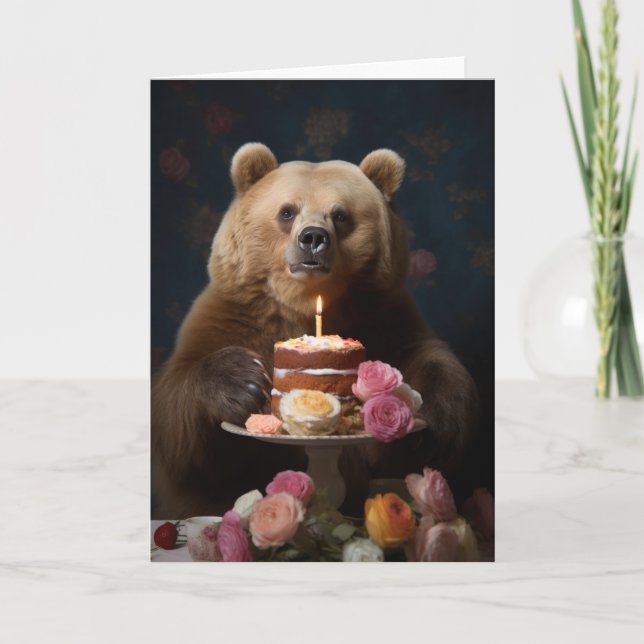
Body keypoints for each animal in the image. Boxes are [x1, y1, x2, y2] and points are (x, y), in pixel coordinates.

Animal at [152, 142, 478, 519]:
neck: (305, 306)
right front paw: (244, 380)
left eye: (340, 215)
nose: (313, 238)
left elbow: (422, 358)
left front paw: (434, 427)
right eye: (287, 211)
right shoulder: (233, 318)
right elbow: (180, 431)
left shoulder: (382, 317)